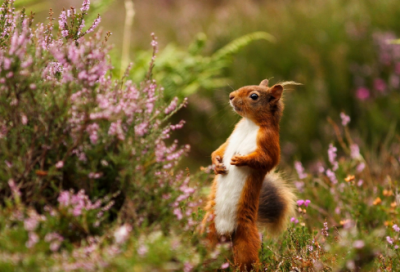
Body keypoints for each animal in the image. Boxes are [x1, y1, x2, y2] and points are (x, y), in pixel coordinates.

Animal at [202, 79, 296, 270]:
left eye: (254, 96)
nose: (231, 96)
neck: (249, 124)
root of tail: (225, 236)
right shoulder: (231, 137)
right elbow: (219, 150)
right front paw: (217, 165)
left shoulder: (269, 143)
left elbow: (265, 160)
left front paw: (241, 159)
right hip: (207, 231)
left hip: (245, 240)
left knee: (248, 261)